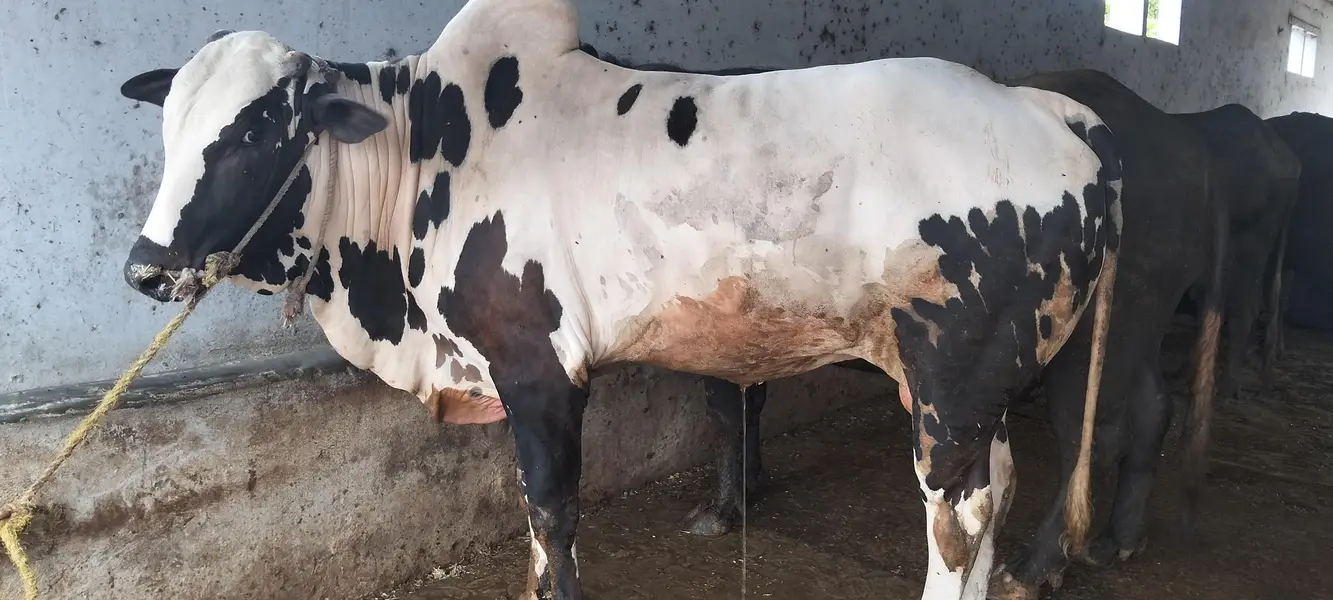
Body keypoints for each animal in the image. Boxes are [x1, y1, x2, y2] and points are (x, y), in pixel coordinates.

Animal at [115, 1, 1123, 598]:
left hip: (949, 385)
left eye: (255, 131)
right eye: (170, 128)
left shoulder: (538, 368)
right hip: (975, 388)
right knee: (998, 490)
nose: (145, 267)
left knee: (957, 520)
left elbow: (551, 516)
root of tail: (1055, 113)